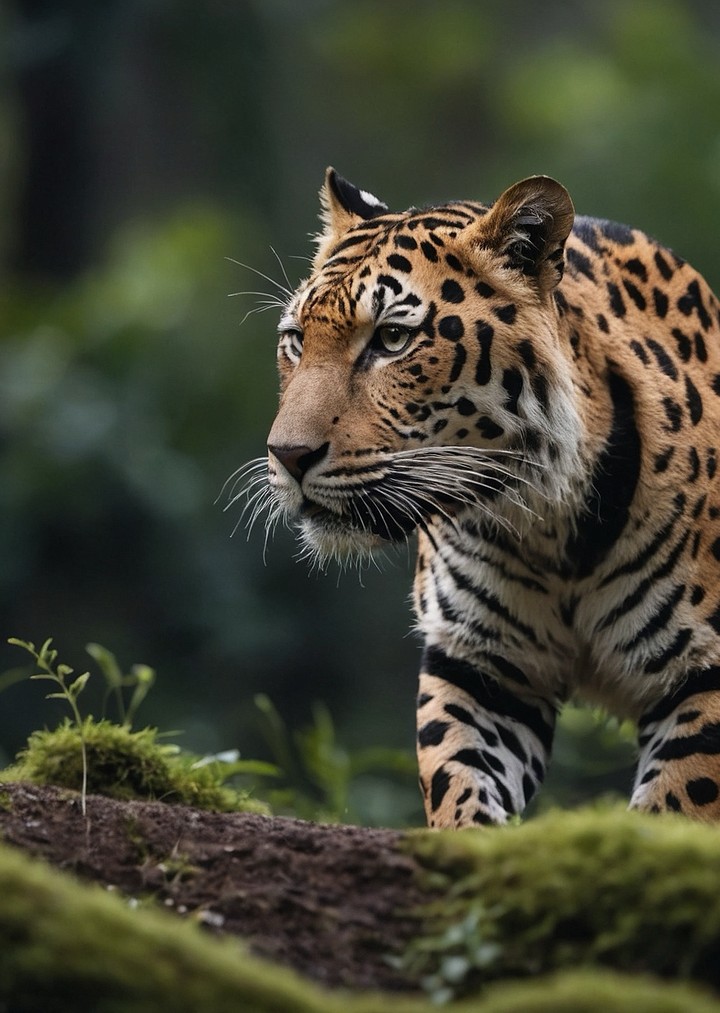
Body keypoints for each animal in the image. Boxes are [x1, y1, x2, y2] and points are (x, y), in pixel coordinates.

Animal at [234, 167, 720, 828]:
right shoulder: (479, 670)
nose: (287, 455)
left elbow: (677, 807)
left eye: (392, 339)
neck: (545, 522)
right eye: (294, 341)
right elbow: (457, 782)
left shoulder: (704, 676)